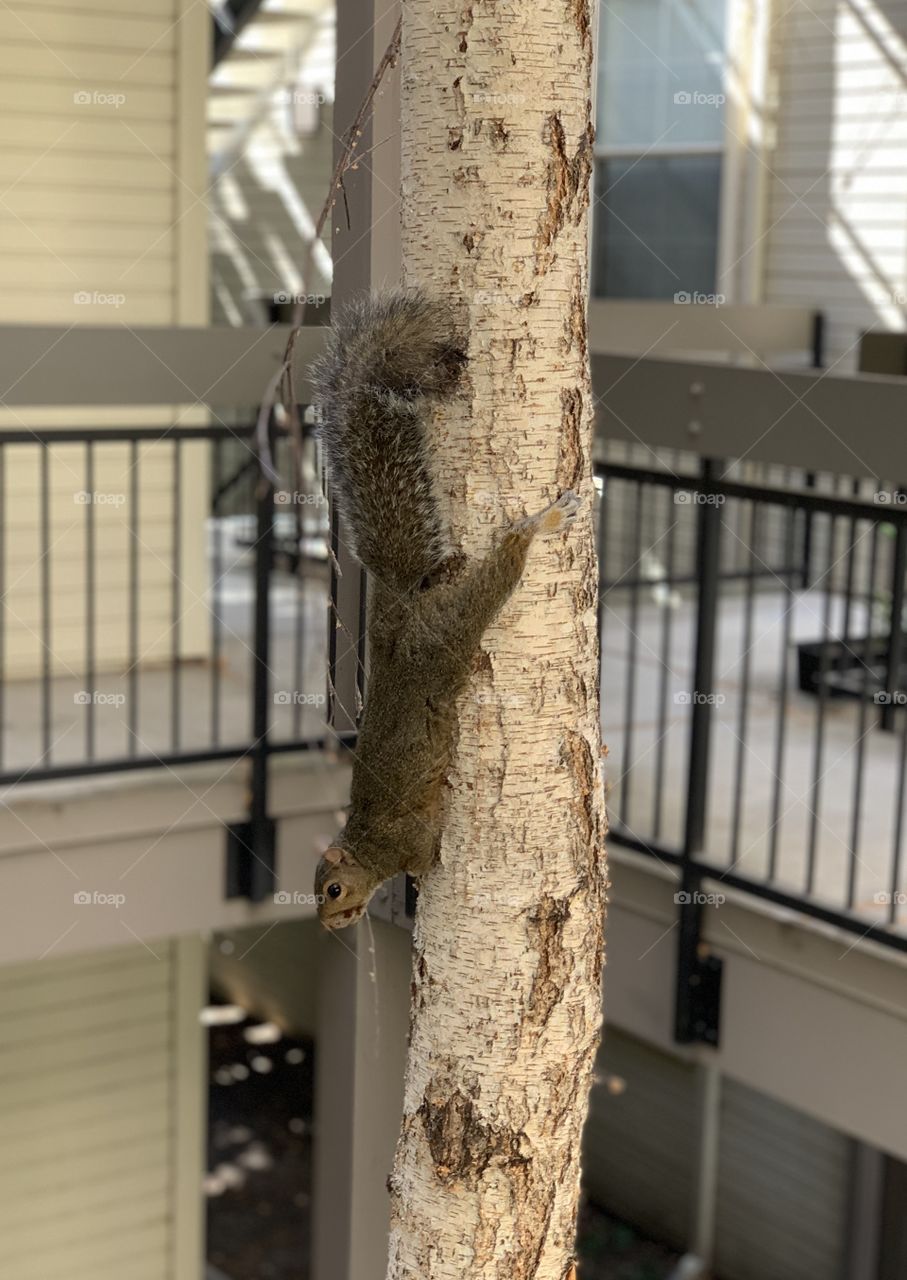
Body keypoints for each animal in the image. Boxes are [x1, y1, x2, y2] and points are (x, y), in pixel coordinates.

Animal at [311, 289, 580, 929]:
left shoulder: (406, 843)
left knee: (500, 570)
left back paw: (541, 525)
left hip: (444, 643)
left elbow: (425, 857)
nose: (332, 925)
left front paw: (421, 876)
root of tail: (404, 608)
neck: (366, 846)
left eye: (331, 889)